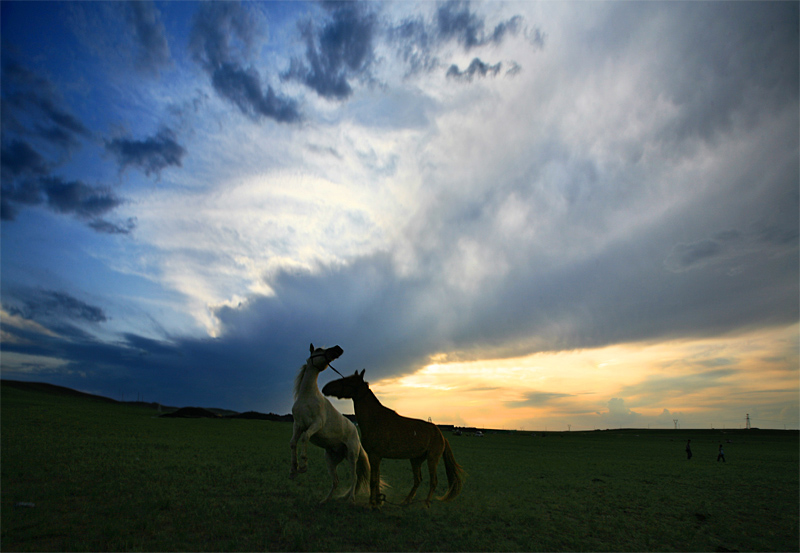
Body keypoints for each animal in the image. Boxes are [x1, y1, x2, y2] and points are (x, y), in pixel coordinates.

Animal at [290, 342, 372, 502]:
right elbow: (293, 443)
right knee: (336, 481)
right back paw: (325, 501)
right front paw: (294, 470)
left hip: (352, 456)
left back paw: (351, 500)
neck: (307, 397)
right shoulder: (298, 425)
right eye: (318, 350)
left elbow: (305, 437)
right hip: (331, 459)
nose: (338, 349)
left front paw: (303, 465)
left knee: (354, 478)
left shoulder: (316, 424)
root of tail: (356, 432)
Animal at [324, 368, 466, 506]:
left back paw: (425, 504)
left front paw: (372, 504)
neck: (376, 419)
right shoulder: (376, 457)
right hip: (416, 460)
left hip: (432, 459)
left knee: (433, 481)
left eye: (348, 381)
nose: (326, 388)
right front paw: (378, 502)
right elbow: (376, 479)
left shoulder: (375, 456)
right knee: (418, 480)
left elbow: (373, 480)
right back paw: (406, 501)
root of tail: (441, 435)